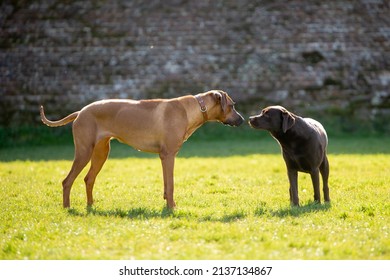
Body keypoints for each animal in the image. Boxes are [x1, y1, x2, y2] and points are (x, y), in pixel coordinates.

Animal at [41, 89, 242, 208]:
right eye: (232, 106)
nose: (242, 120)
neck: (192, 109)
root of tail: (80, 112)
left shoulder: (164, 157)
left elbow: (166, 184)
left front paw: (167, 202)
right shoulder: (168, 155)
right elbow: (171, 184)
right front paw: (171, 207)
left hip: (101, 153)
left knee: (88, 179)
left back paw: (91, 205)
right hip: (84, 152)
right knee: (67, 181)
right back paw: (67, 207)